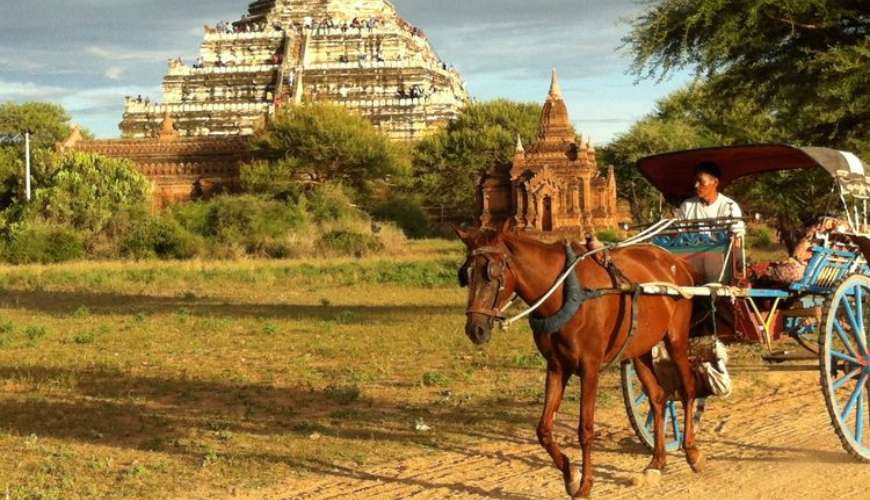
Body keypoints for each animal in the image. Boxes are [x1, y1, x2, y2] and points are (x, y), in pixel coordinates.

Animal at [455, 223, 704, 498]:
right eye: (465, 275)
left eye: (492, 273)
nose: (475, 329)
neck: (566, 292)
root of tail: (676, 262)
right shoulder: (556, 366)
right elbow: (543, 429)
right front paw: (570, 475)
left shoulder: (590, 367)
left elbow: (585, 429)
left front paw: (585, 484)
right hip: (639, 348)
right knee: (659, 398)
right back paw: (657, 461)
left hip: (676, 339)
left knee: (688, 389)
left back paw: (692, 452)